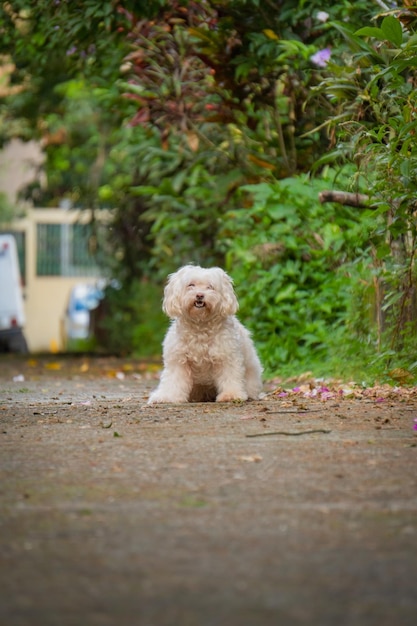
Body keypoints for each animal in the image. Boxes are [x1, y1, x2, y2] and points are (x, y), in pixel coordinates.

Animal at [148, 264, 262, 402]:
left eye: (210, 286)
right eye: (191, 285)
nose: (199, 295)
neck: (200, 326)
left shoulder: (227, 357)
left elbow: (229, 376)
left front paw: (231, 395)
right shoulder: (178, 360)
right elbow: (174, 380)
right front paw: (167, 396)